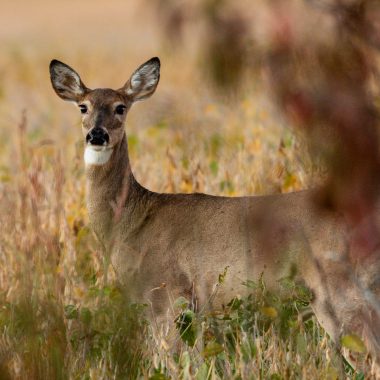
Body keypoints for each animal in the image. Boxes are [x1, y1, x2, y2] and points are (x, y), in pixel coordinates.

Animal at [50, 58, 380, 376]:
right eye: (83, 106)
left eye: (120, 107)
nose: (97, 134)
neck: (132, 224)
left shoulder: (167, 292)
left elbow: (170, 361)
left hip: (339, 289)